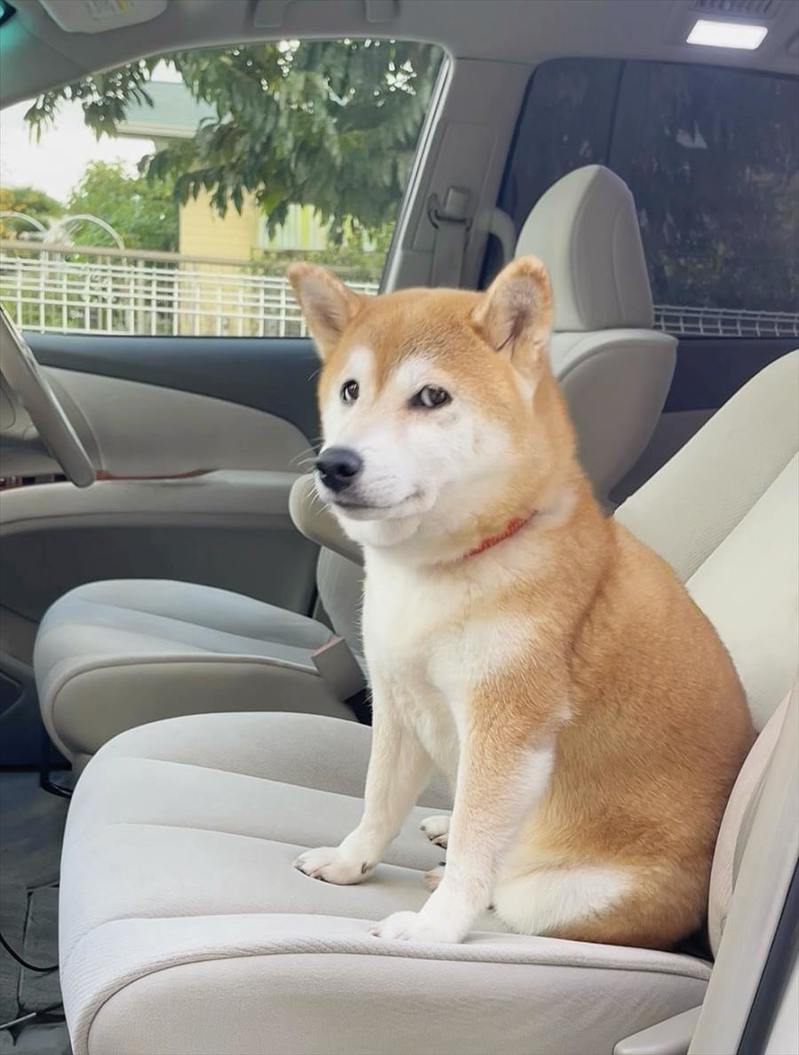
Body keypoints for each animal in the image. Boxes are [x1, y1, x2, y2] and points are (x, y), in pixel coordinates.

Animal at [289, 255, 755, 949]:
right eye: (350, 390)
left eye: (432, 397)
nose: (335, 464)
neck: (447, 568)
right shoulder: (398, 700)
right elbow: (377, 801)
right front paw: (350, 862)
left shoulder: (507, 730)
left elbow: (478, 844)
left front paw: (437, 925)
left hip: (562, 894)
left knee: (506, 888)